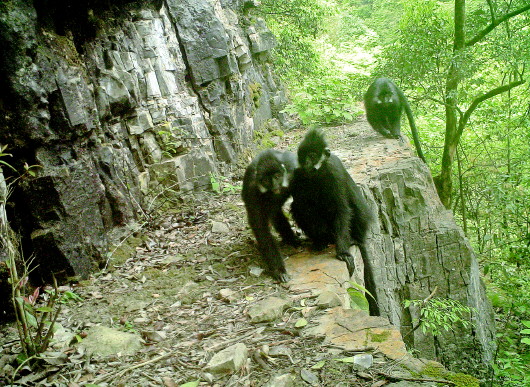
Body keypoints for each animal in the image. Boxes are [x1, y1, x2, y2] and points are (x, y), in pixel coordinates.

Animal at [241, 149, 300, 282]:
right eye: (266, 181)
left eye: (277, 176)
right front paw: (279, 270)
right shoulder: (252, 191)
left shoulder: (293, 167)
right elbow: (261, 229)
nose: (275, 186)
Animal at [286, 130, 378, 316]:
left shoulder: (333, 171)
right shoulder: (298, 173)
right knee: (300, 205)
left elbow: (342, 209)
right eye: (303, 156)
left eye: (313, 155)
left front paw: (342, 253)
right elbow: (301, 203)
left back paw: (349, 240)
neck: (317, 173)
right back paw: (321, 240)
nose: (307, 163)